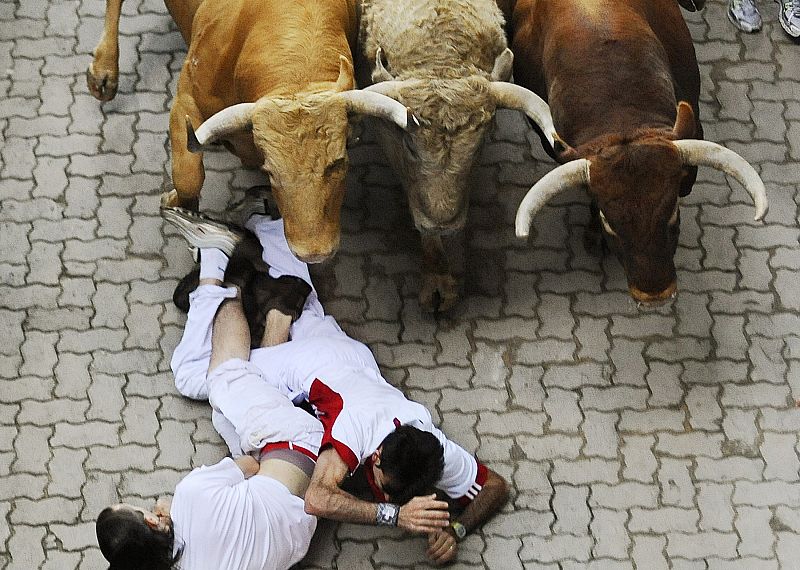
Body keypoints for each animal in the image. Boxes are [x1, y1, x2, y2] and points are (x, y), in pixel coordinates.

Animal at [87, 0, 412, 262]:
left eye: (339, 163)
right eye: (272, 173)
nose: (313, 252)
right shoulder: (187, 101)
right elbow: (189, 177)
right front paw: (178, 206)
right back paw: (103, 72)